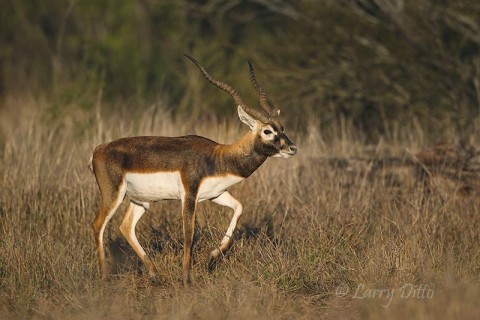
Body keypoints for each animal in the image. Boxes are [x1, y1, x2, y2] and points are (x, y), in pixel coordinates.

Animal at [87, 54, 294, 284]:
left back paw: (154, 274)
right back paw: (104, 276)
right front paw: (186, 279)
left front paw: (212, 257)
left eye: (282, 127)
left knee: (126, 227)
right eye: (267, 131)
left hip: (141, 200)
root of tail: (98, 150)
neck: (217, 156)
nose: (291, 148)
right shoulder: (189, 195)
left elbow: (238, 208)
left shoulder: (216, 194)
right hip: (113, 194)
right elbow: (189, 234)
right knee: (97, 225)